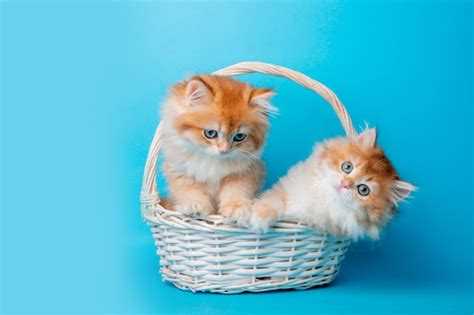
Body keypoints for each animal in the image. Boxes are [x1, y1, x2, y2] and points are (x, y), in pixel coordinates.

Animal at [161, 74, 276, 225]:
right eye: (210, 133)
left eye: (239, 137)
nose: (224, 151)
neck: (211, 160)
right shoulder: (180, 170)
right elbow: (190, 190)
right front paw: (196, 206)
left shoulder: (244, 173)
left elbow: (237, 191)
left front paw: (236, 209)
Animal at [248, 128, 414, 239]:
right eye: (347, 167)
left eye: (363, 190)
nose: (344, 183)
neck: (323, 196)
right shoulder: (284, 188)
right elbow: (272, 202)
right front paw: (259, 219)